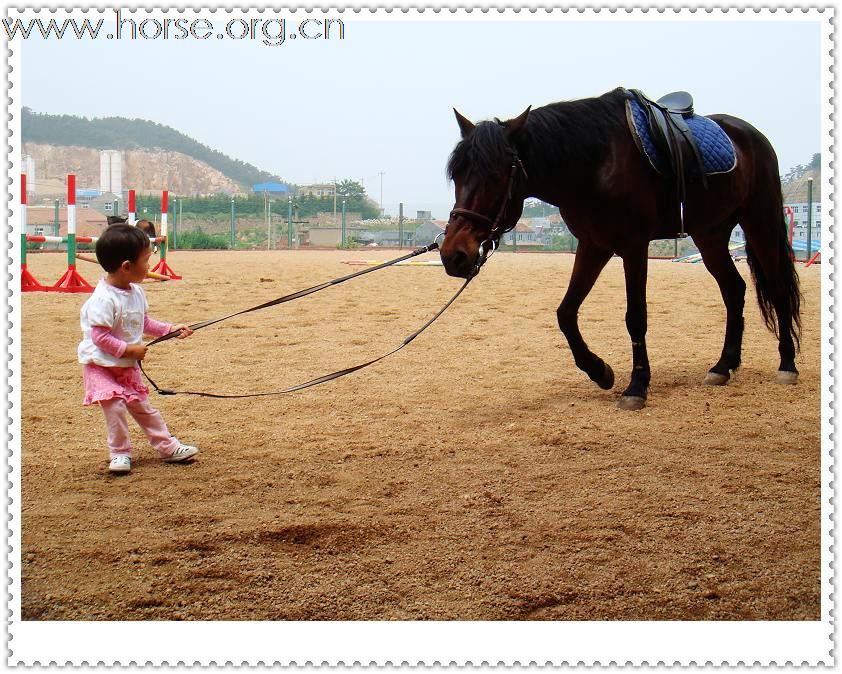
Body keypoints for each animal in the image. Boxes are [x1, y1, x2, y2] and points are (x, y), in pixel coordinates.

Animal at [440, 85, 800, 410]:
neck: (595, 163)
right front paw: (600, 371)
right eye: (456, 175)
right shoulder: (593, 245)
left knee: (778, 288)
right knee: (733, 289)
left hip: (759, 222)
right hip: (709, 234)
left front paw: (637, 386)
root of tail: (749, 133)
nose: (452, 255)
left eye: (496, 176)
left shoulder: (633, 246)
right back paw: (723, 366)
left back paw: (787, 365)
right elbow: (565, 313)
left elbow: (635, 316)